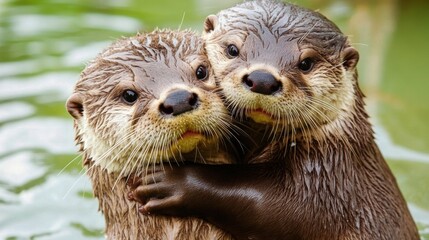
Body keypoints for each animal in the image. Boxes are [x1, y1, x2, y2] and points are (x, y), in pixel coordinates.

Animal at [128, 0, 418, 239]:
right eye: (232, 49)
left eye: (306, 63)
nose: (262, 79)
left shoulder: (329, 184)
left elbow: (272, 206)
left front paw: (172, 180)